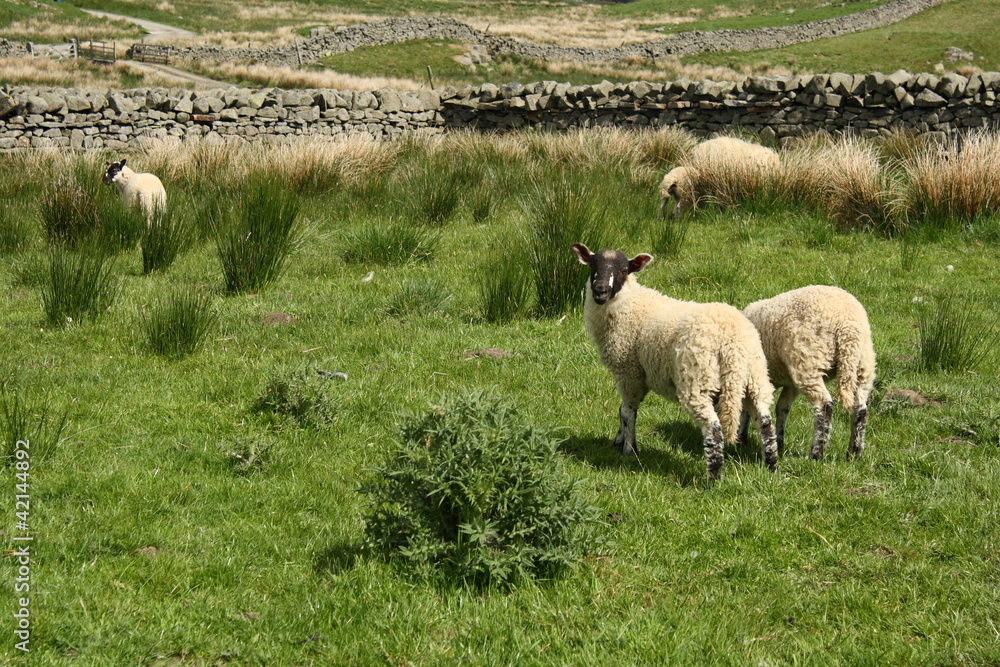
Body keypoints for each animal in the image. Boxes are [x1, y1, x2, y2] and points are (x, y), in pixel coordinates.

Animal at [571, 243, 778, 481]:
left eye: (624, 270)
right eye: (592, 266)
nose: (600, 291)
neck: (630, 303)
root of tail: (731, 342)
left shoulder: (628, 371)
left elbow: (627, 411)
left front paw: (629, 450)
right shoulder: (638, 375)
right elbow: (623, 408)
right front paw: (619, 441)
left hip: (698, 380)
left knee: (713, 429)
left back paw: (714, 478)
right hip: (755, 377)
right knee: (765, 422)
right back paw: (772, 467)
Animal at [739, 285, 876, 461]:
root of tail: (849, 329)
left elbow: (748, 409)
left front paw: (741, 439)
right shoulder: (790, 383)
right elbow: (782, 407)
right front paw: (779, 441)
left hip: (808, 360)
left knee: (824, 405)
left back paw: (817, 453)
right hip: (863, 365)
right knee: (860, 409)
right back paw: (854, 453)